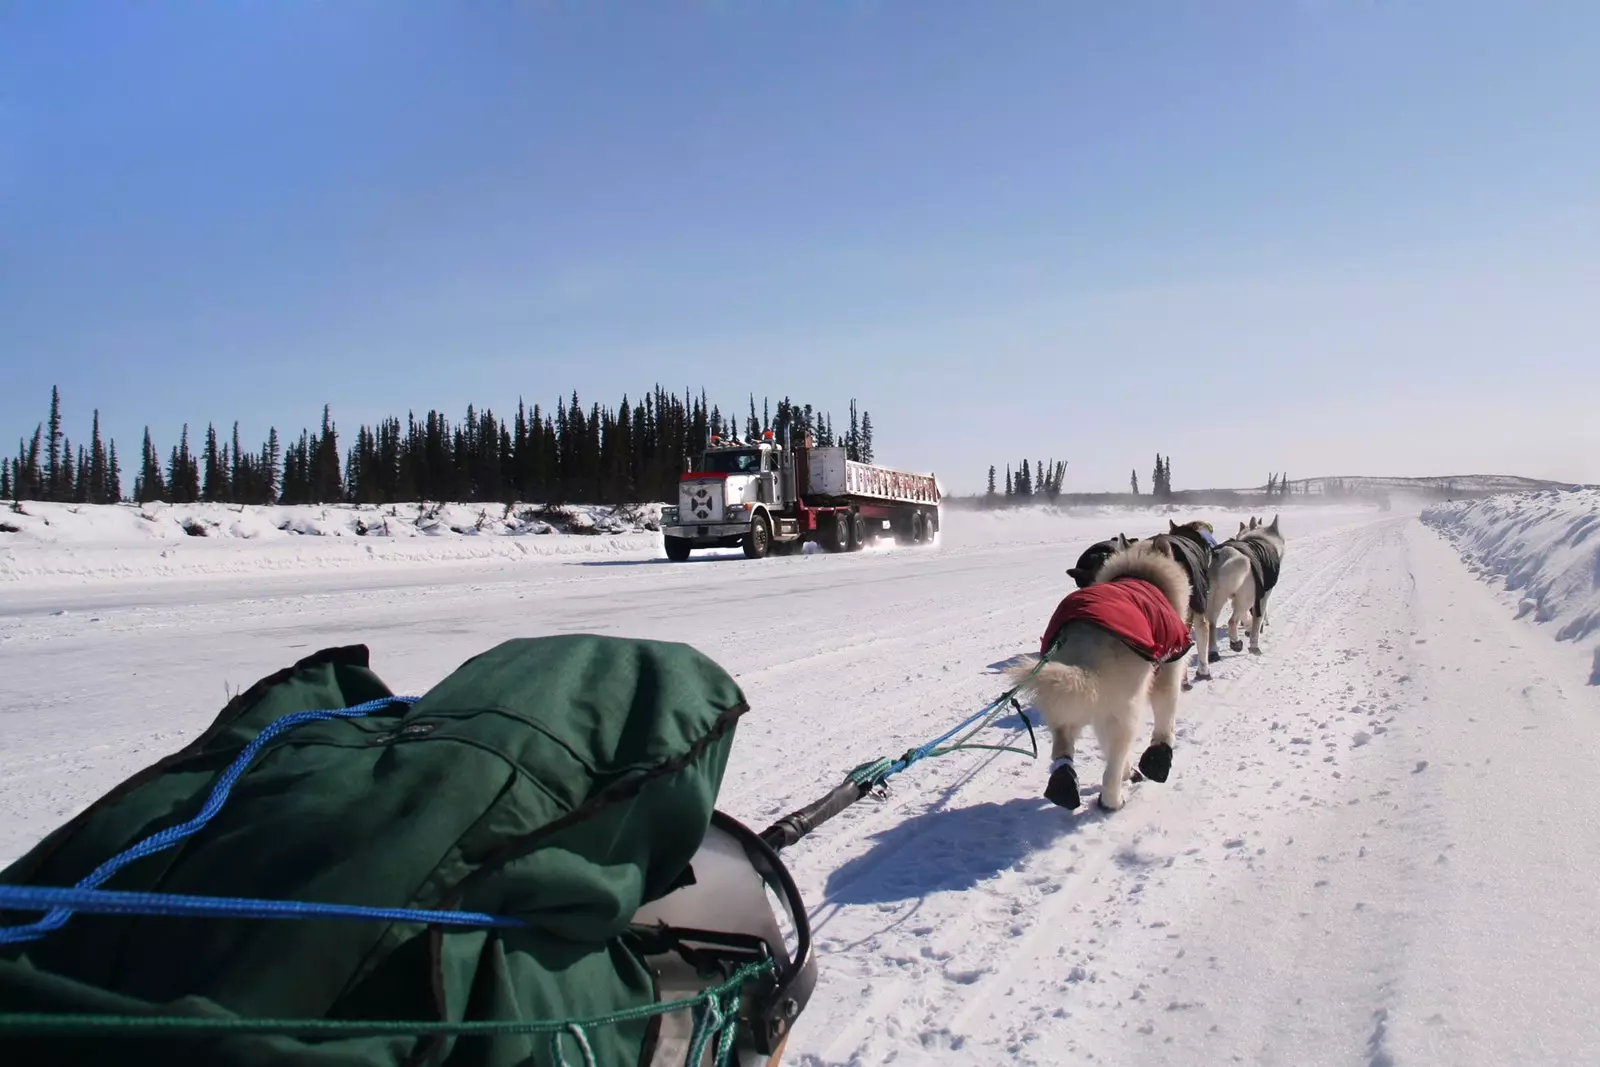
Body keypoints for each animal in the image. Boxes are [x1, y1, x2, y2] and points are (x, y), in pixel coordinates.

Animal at [1011, 543, 1190, 809]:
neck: (1141, 574)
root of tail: (1087, 640)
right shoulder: (1169, 670)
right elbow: (1164, 723)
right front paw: (1159, 757)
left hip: (1067, 706)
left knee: (1063, 749)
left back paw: (1063, 786)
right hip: (1124, 715)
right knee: (1111, 768)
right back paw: (1112, 801)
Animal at [1196, 511, 1280, 681]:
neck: (1260, 538)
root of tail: (1222, 555)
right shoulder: (1262, 596)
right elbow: (1257, 621)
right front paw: (1254, 644)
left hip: (1214, 601)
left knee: (1211, 625)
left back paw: (1213, 652)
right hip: (1244, 599)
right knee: (1231, 621)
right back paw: (1236, 642)